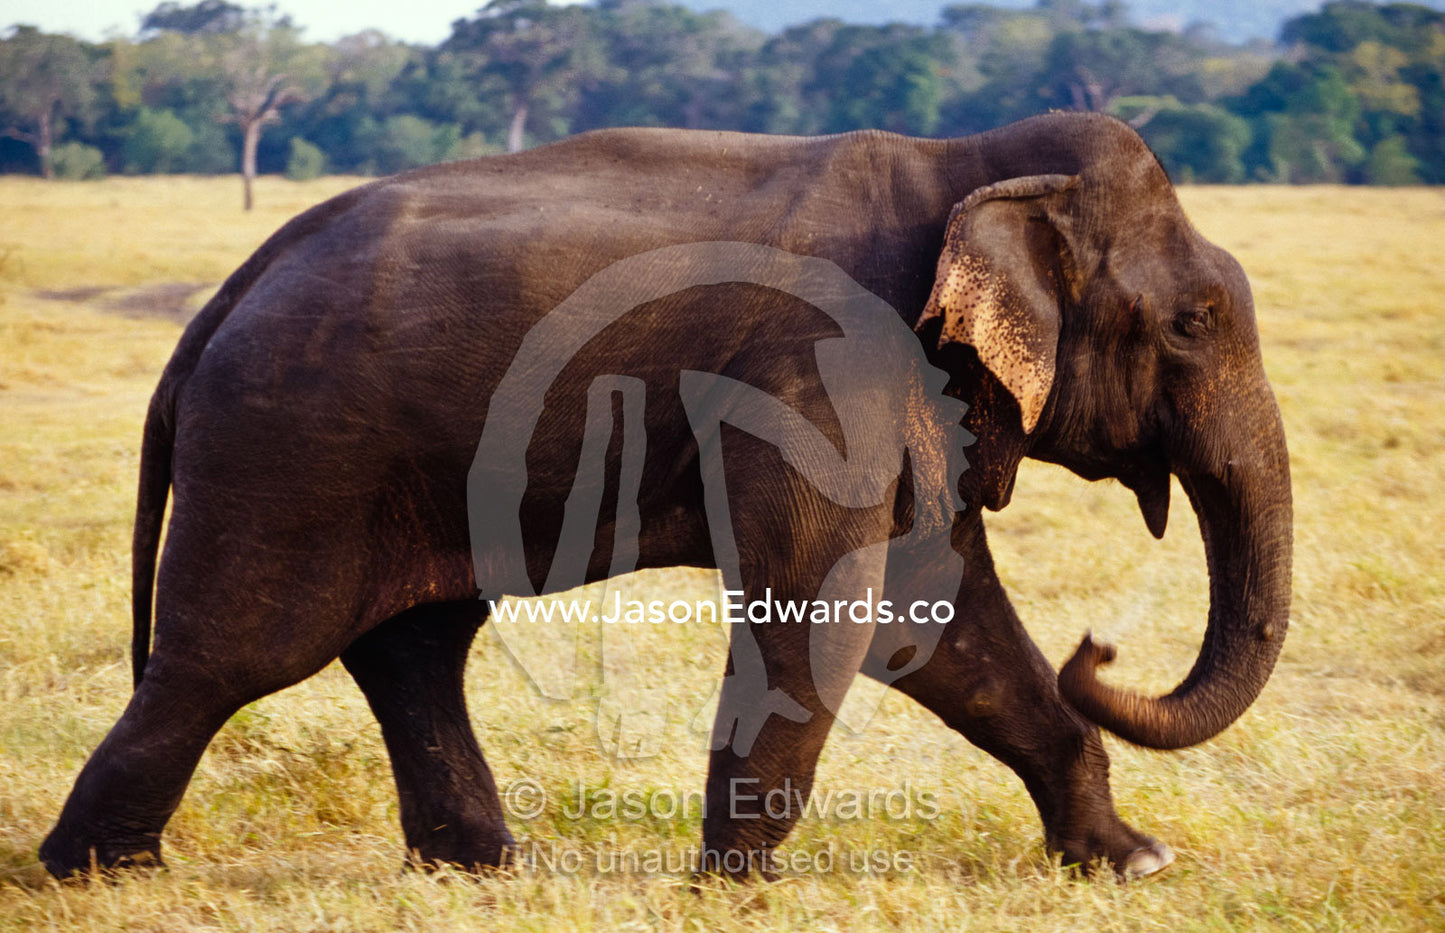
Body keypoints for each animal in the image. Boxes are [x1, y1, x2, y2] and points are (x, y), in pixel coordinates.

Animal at [40, 110, 1292, 882]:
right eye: (1190, 324)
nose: (1102, 649)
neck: (964, 163)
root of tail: (219, 303)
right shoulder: (822, 372)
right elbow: (823, 613)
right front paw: (733, 887)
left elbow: (931, 616)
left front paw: (1132, 861)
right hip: (288, 453)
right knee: (233, 656)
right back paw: (98, 874)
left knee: (410, 647)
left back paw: (479, 869)